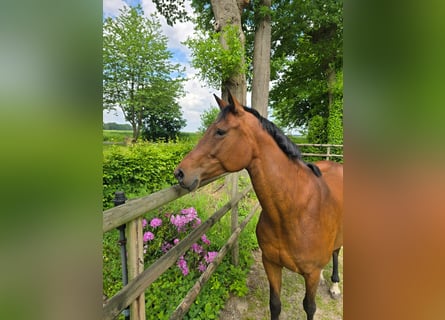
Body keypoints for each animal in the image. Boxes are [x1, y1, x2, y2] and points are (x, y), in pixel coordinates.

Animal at [175, 92, 342, 320]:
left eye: (220, 131)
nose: (180, 172)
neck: (294, 212)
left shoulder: (311, 274)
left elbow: (309, 307)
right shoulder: (271, 264)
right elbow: (275, 305)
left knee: (337, 252)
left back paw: (334, 286)